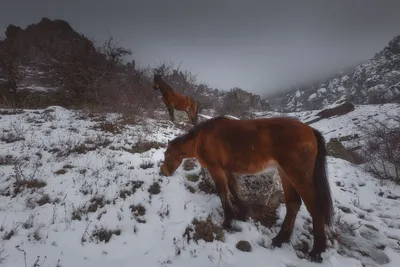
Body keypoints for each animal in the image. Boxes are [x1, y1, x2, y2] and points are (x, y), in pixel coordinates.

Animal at [159, 116, 334, 262]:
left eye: (166, 155)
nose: (163, 171)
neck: (201, 138)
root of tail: (310, 131)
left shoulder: (215, 168)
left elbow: (223, 192)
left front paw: (228, 221)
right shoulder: (227, 170)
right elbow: (233, 189)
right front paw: (242, 213)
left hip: (298, 174)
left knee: (315, 207)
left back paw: (316, 251)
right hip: (285, 173)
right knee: (293, 204)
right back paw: (280, 239)